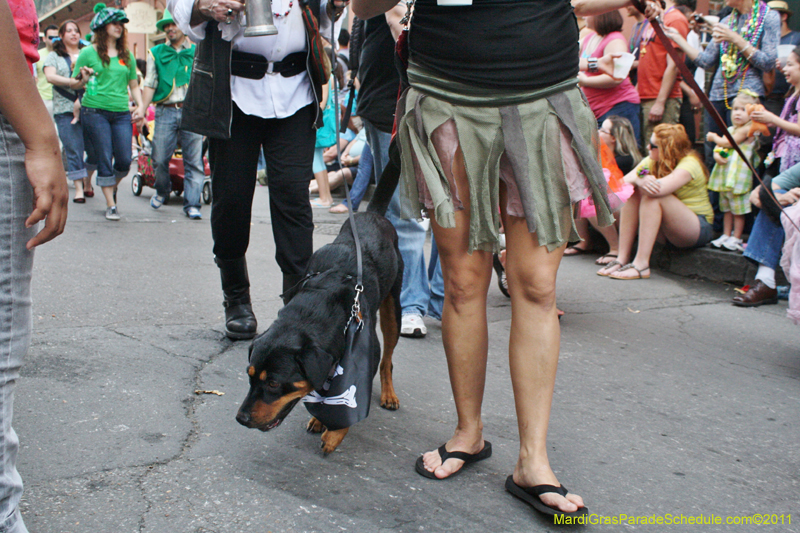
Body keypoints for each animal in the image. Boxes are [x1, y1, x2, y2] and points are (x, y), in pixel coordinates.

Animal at [234, 210, 404, 450]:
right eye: (249, 375)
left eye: (274, 383)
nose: (241, 418)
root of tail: (372, 213)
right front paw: (319, 418)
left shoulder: (366, 354)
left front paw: (335, 432)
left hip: (393, 310)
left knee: (387, 359)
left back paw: (389, 394)